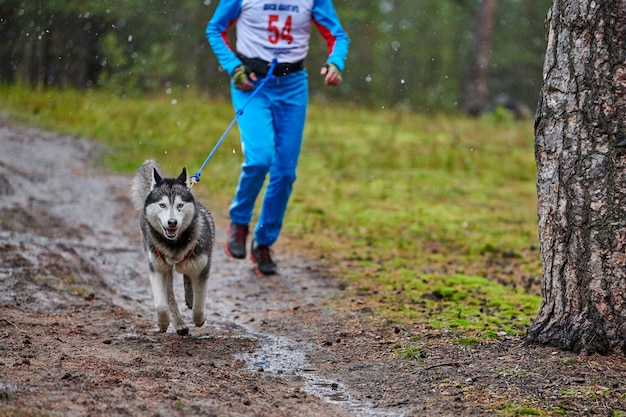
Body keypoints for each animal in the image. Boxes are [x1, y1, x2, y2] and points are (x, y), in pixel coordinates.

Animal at [130, 159, 214, 334]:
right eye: (162, 205)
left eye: (180, 205)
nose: (172, 222)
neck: (174, 245)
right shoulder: (156, 269)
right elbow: (161, 305)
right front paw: (163, 323)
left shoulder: (202, 269)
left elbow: (199, 305)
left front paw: (199, 318)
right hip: (166, 269)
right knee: (170, 296)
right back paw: (179, 324)